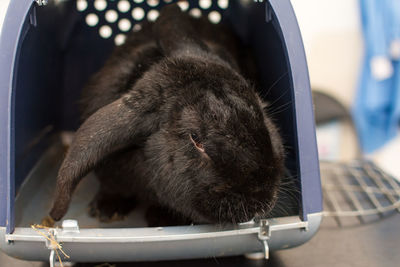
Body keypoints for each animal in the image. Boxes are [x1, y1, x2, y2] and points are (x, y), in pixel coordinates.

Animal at [48, 4, 286, 226]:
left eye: (260, 112)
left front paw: (163, 219)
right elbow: (112, 187)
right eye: (196, 140)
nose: (264, 199)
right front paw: (105, 210)